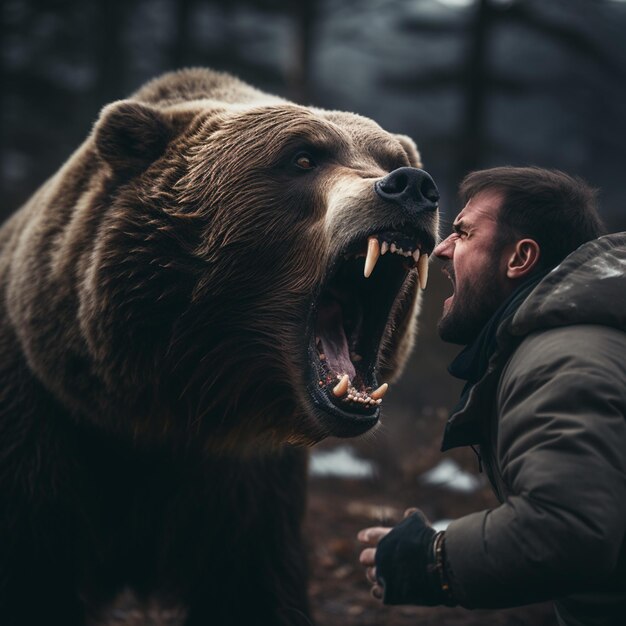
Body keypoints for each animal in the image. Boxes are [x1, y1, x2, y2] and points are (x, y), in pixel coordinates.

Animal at [0, 68, 438, 624]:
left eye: (390, 157)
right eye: (303, 157)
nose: (413, 186)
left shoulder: (247, 491)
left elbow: (251, 590)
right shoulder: (45, 438)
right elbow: (36, 578)